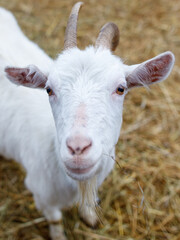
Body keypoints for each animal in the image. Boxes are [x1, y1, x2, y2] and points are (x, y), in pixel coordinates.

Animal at [0, 2, 174, 240]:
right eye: (49, 89)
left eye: (121, 88)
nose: (78, 148)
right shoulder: (41, 193)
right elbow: (55, 219)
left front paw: (90, 218)